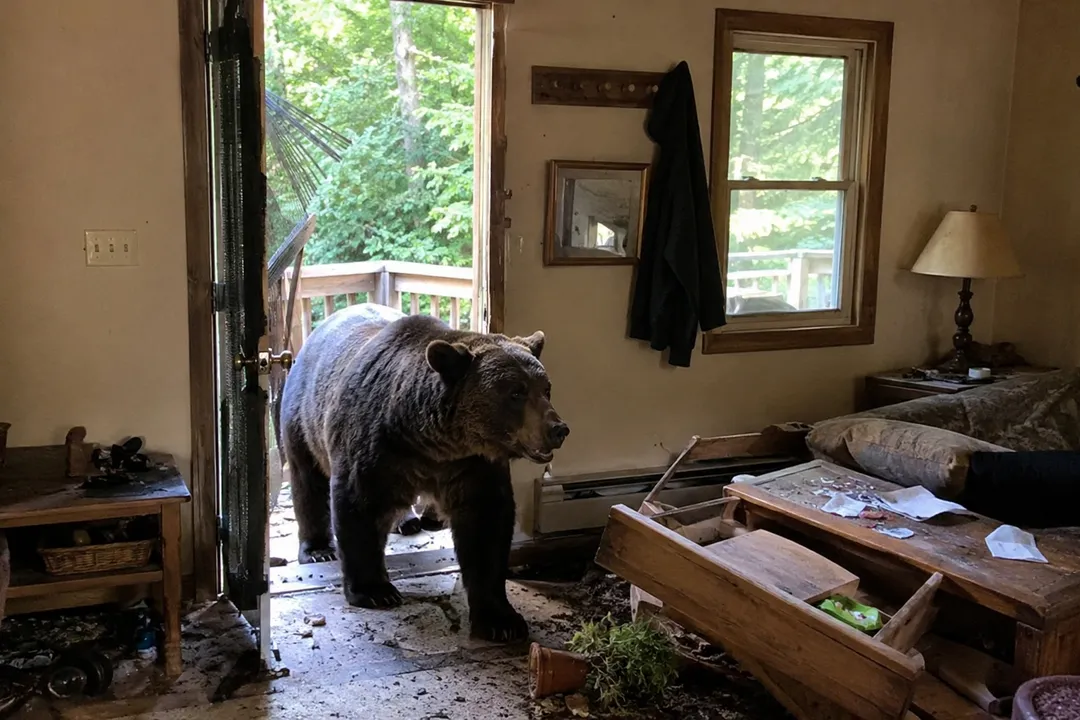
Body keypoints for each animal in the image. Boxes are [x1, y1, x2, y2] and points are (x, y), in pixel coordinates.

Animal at [278, 303, 569, 642]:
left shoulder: (471, 465)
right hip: (302, 416)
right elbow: (359, 503)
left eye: (546, 388)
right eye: (515, 393)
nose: (557, 429)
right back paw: (318, 549)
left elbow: (486, 525)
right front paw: (375, 590)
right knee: (307, 481)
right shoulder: (375, 444)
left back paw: (410, 521)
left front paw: (501, 620)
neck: (432, 441)